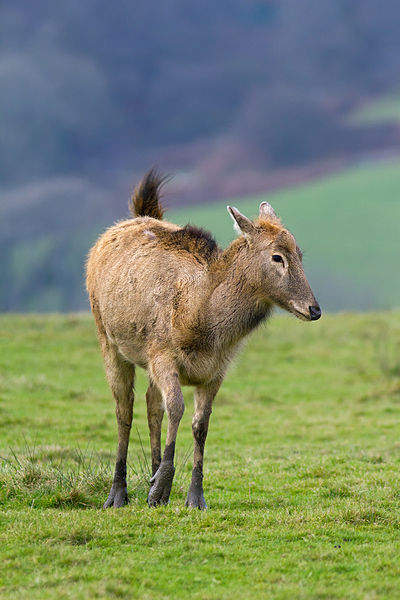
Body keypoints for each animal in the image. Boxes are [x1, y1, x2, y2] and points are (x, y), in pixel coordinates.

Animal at [86, 170, 320, 510]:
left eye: (300, 254)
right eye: (277, 257)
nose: (314, 309)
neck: (201, 325)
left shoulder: (216, 370)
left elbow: (201, 424)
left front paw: (192, 496)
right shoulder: (162, 354)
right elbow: (177, 408)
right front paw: (161, 485)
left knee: (151, 405)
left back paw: (152, 480)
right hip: (107, 337)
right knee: (124, 408)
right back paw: (118, 494)